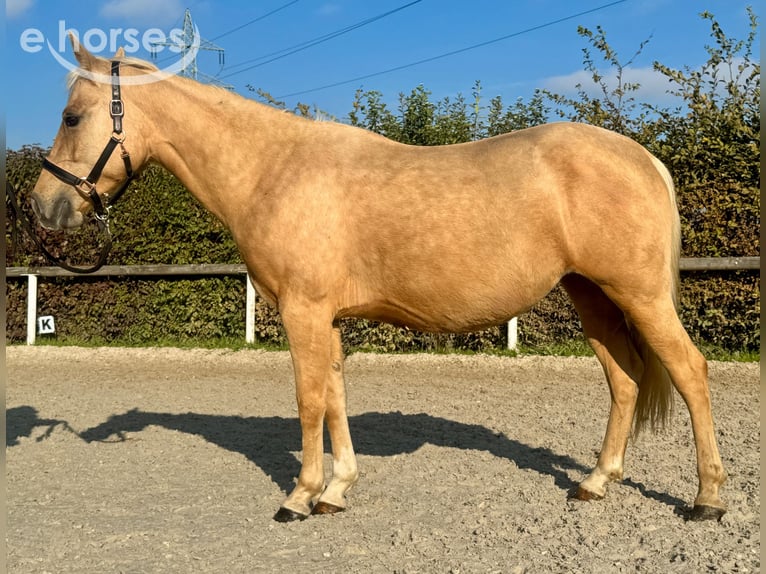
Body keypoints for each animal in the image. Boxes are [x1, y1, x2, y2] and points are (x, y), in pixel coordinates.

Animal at [29, 39, 727, 522]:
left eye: (71, 116)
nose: (43, 207)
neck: (274, 169)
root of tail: (644, 157)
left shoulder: (303, 312)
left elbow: (310, 400)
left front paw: (299, 496)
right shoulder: (324, 318)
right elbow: (335, 396)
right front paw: (337, 490)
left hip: (639, 296)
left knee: (691, 373)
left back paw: (707, 499)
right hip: (595, 299)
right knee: (626, 381)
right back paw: (595, 482)